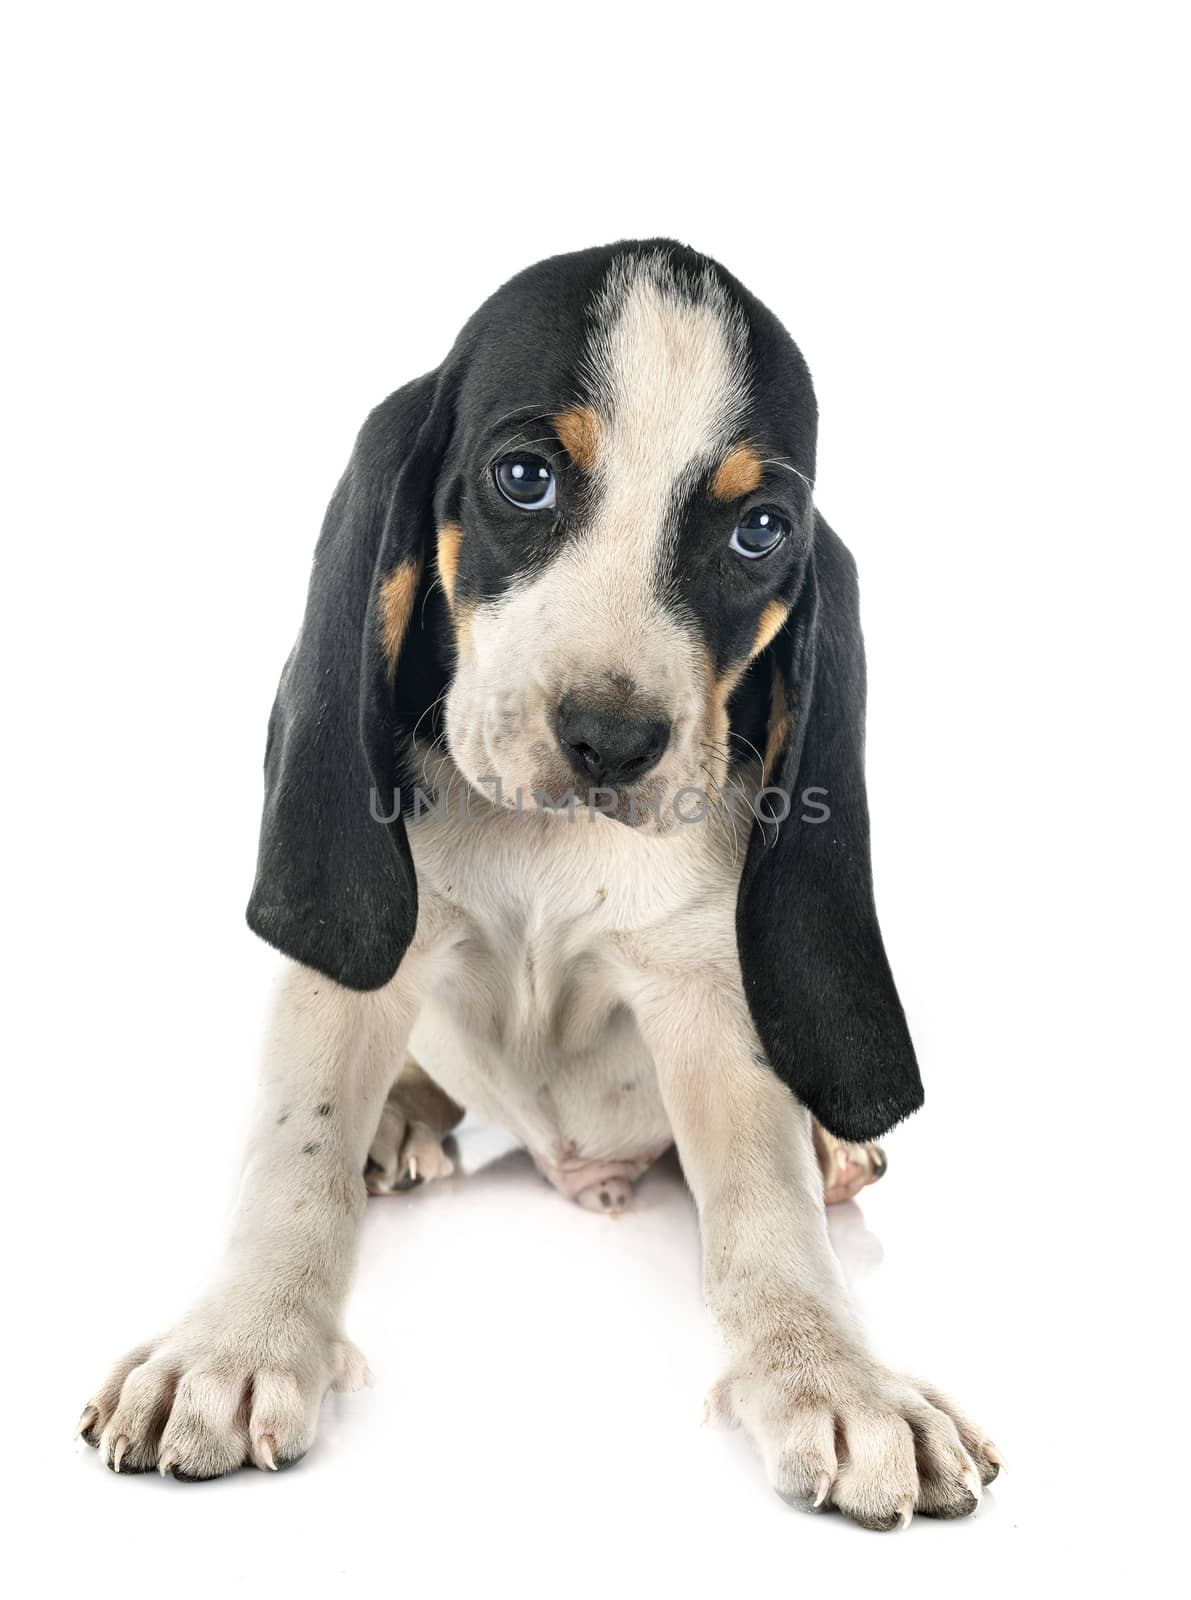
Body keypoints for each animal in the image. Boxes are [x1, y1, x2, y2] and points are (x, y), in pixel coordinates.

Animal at [79, 236, 998, 1523]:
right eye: (524, 476)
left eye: (760, 531)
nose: (613, 742)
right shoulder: (369, 968)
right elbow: (293, 1163)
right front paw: (237, 1342)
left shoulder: (708, 996)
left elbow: (769, 1222)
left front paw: (835, 1375)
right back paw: (400, 1120)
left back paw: (834, 1152)